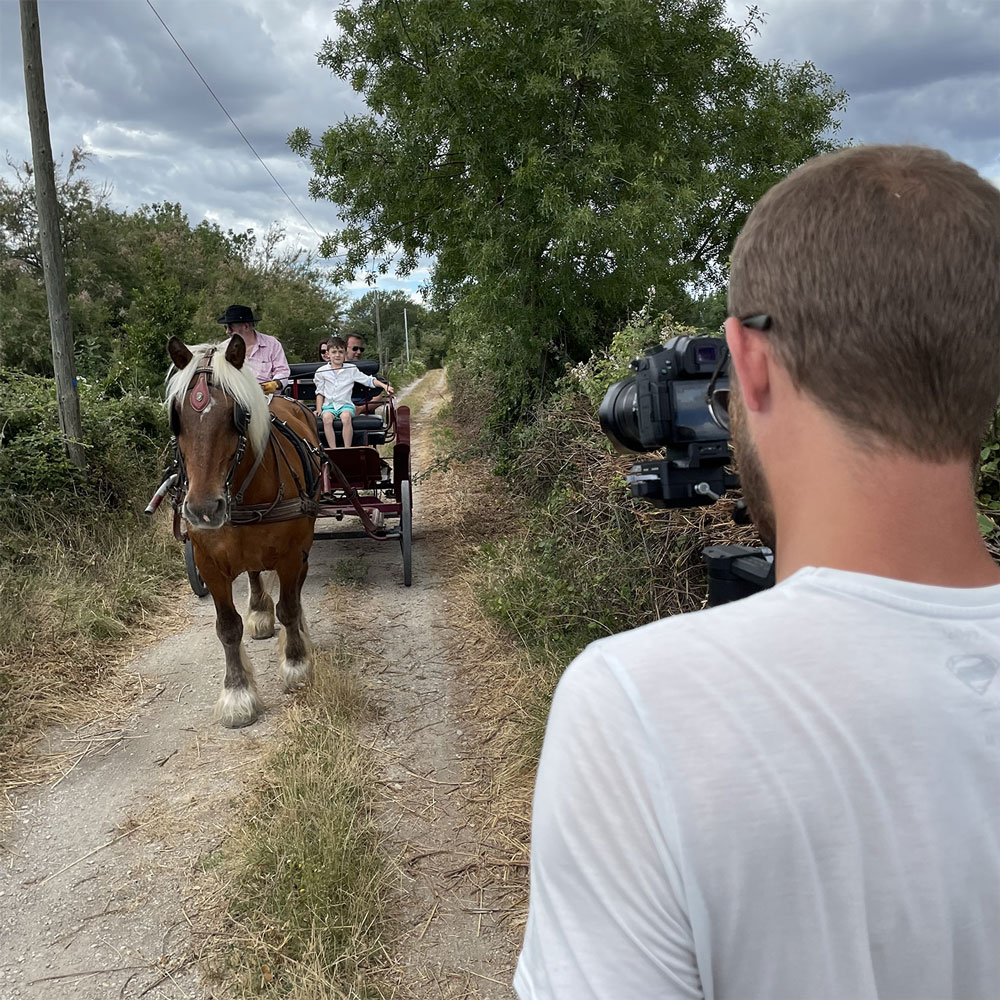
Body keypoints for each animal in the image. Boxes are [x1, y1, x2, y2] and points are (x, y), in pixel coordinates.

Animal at [164, 338, 320, 728]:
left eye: (237, 416)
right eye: (177, 419)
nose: (203, 509)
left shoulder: (291, 555)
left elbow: (290, 608)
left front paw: (296, 664)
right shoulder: (208, 564)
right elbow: (228, 627)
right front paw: (237, 694)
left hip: (303, 546)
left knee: (296, 591)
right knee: (253, 573)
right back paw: (260, 612)